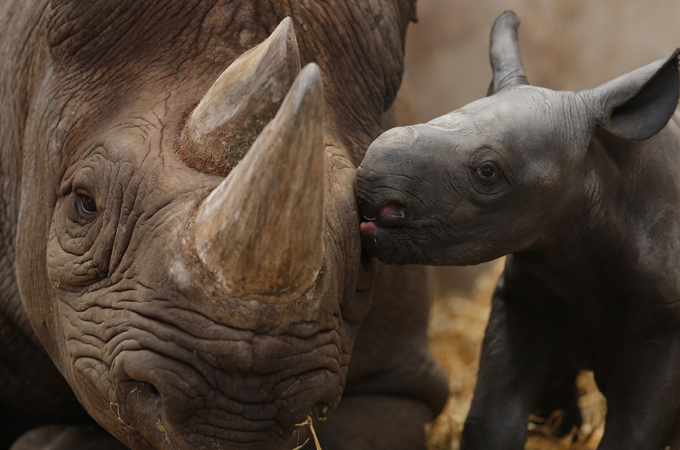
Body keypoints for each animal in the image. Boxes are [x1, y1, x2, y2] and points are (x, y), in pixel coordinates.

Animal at [357, 10, 680, 450]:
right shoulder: (525, 299)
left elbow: (634, 433)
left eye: (487, 172)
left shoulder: (663, 328)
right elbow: (492, 418)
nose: (367, 187)